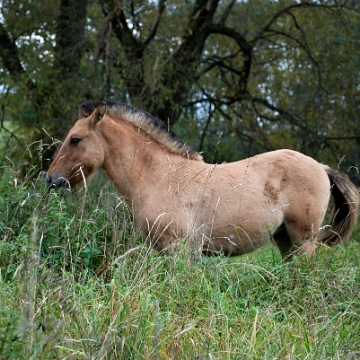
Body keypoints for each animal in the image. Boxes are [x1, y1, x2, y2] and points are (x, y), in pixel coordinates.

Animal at [46, 100, 358, 258]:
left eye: (75, 139)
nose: (51, 179)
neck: (158, 176)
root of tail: (321, 167)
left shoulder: (178, 249)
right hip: (285, 239)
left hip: (303, 240)